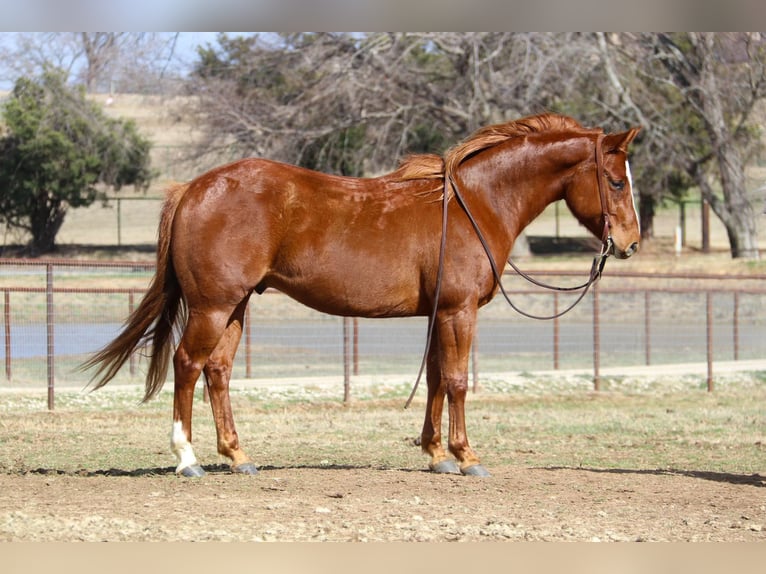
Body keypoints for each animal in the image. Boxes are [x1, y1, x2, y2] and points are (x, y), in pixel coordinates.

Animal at [85, 112, 640, 476]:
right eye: (615, 181)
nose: (630, 243)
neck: (473, 203)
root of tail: (195, 189)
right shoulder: (458, 311)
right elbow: (458, 381)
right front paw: (466, 457)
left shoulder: (438, 314)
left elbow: (435, 379)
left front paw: (435, 454)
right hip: (212, 306)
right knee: (187, 365)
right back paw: (187, 458)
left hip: (234, 307)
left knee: (217, 372)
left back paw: (238, 456)